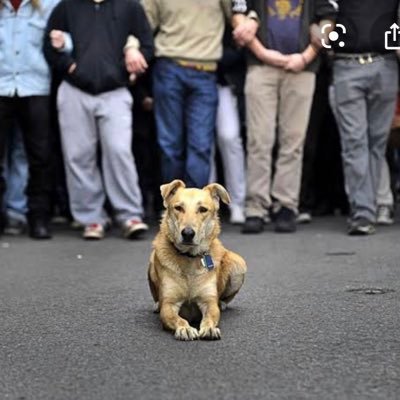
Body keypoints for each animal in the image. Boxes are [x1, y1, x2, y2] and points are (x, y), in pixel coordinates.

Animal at [148, 181, 247, 340]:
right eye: (178, 208)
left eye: (203, 209)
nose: (188, 233)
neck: (189, 257)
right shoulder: (169, 304)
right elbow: (177, 318)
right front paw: (185, 328)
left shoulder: (208, 302)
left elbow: (210, 316)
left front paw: (210, 328)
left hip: (239, 263)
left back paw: (222, 304)